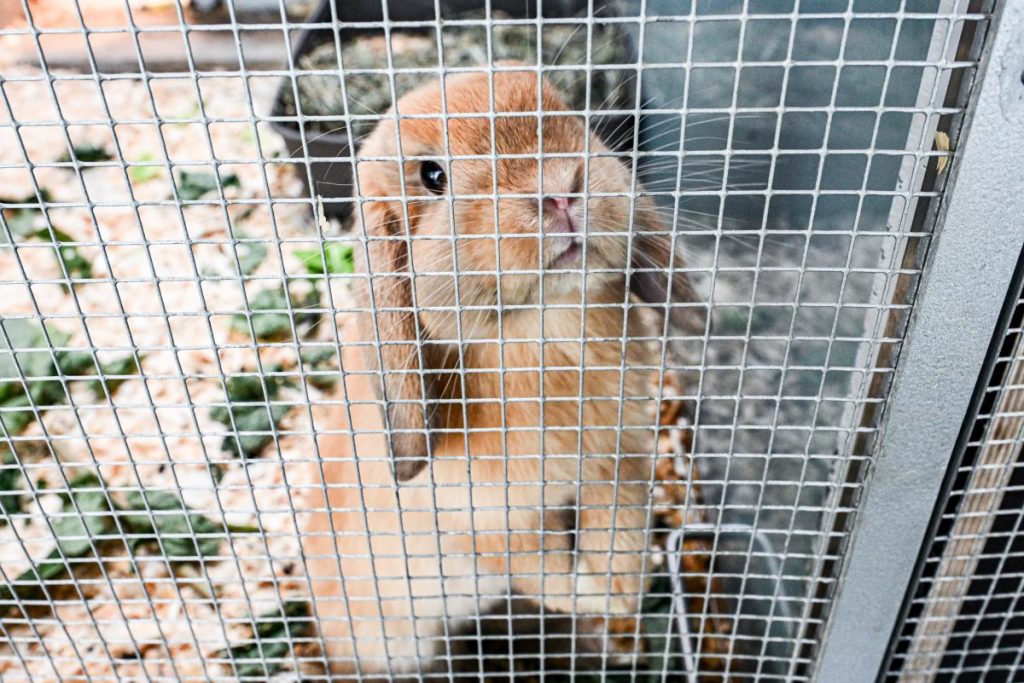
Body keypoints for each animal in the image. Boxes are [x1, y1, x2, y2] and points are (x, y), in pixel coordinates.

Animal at [299, 66, 708, 675]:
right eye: (433, 175)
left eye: (563, 114)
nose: (560, 189)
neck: (540, 331)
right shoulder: (493, 522)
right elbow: (551, 573)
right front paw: (606, 597)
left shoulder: (618, 465)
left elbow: (620, 532)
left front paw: (626, 593)